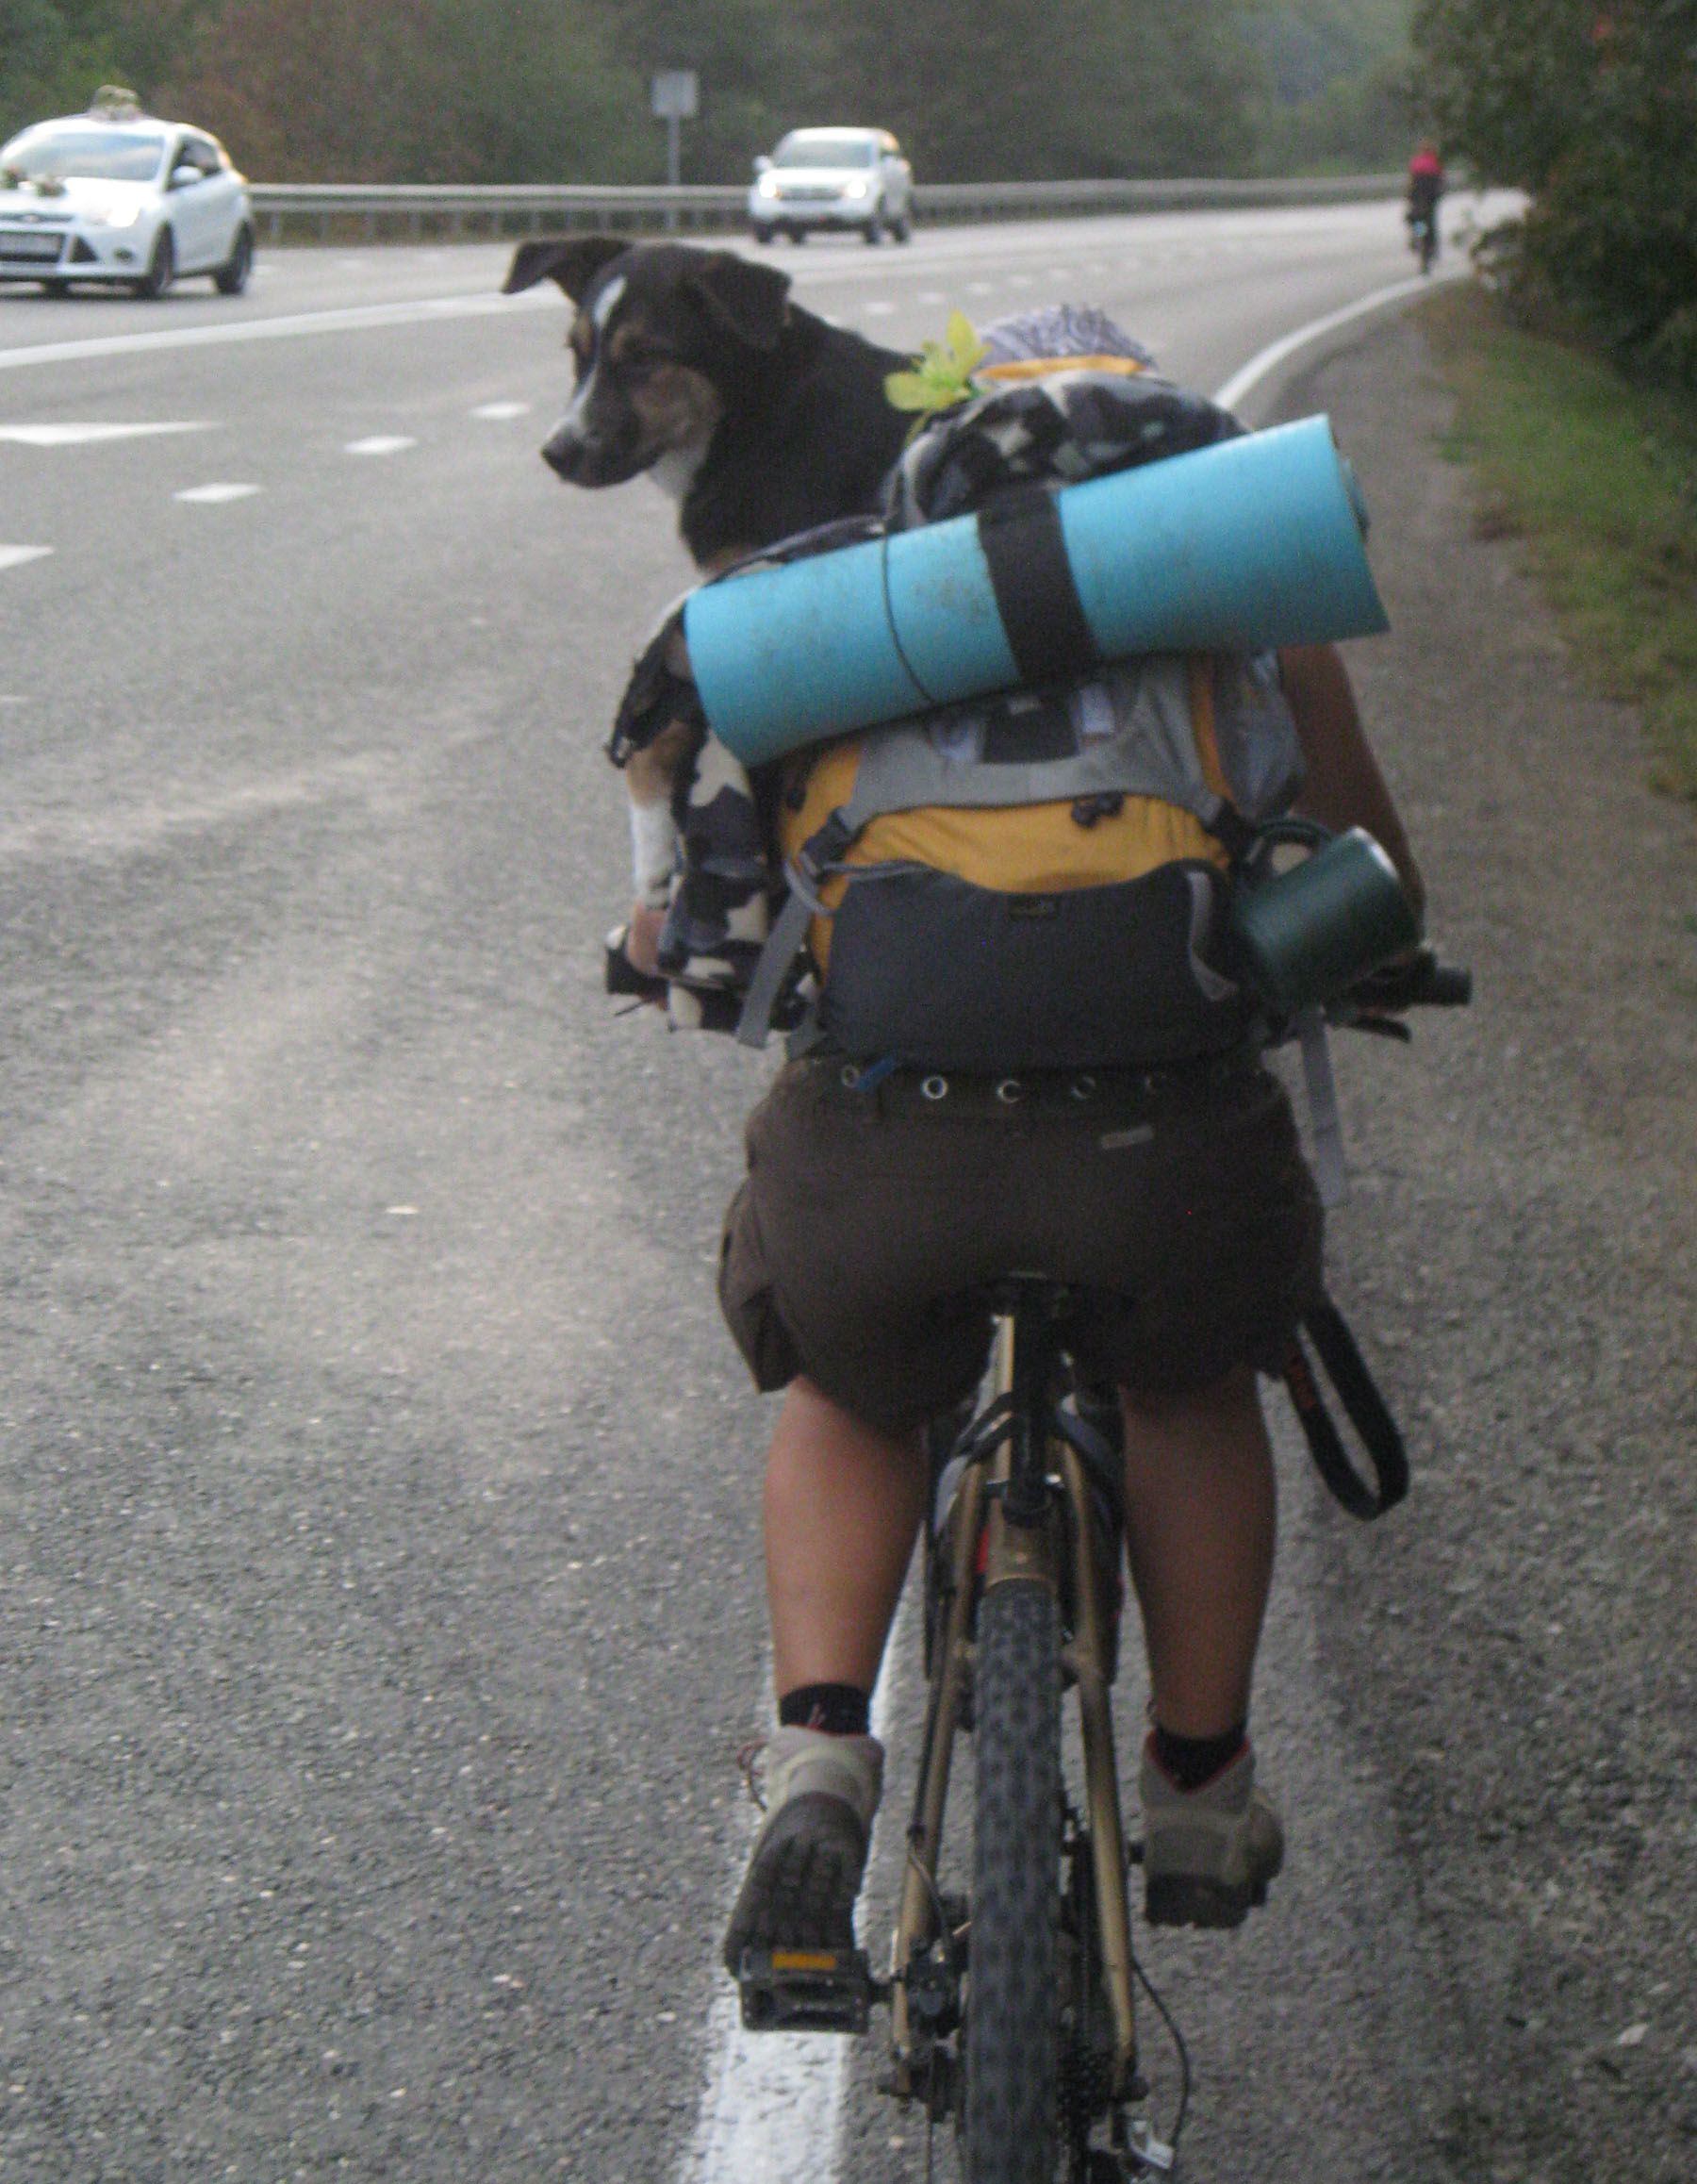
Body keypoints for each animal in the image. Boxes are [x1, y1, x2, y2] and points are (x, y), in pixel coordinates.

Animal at [503, 236, 913, 976]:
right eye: (578, 352)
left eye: (645, 356)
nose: (556, 453)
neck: (755, 417)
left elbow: (656, 755)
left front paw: (652, 874)